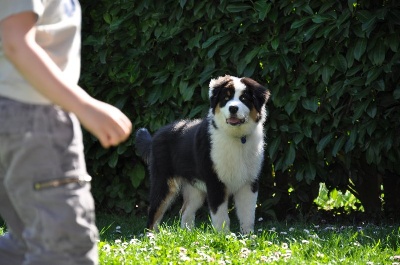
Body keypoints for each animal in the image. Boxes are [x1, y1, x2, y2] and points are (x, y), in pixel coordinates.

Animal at [136, 75, 270, 233]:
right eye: (226, 98)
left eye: (244, 98)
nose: (233, 108)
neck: (237, 137)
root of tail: (155, 137)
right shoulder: (215, 182)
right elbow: (221, 216)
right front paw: (224, 236)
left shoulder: (249, 182)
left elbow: (248, 215)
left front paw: (248, 237)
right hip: (163, 181)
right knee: (154, 211)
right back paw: (152, 237)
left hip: (195, 187)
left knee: (185, 210)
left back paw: (188, 234)